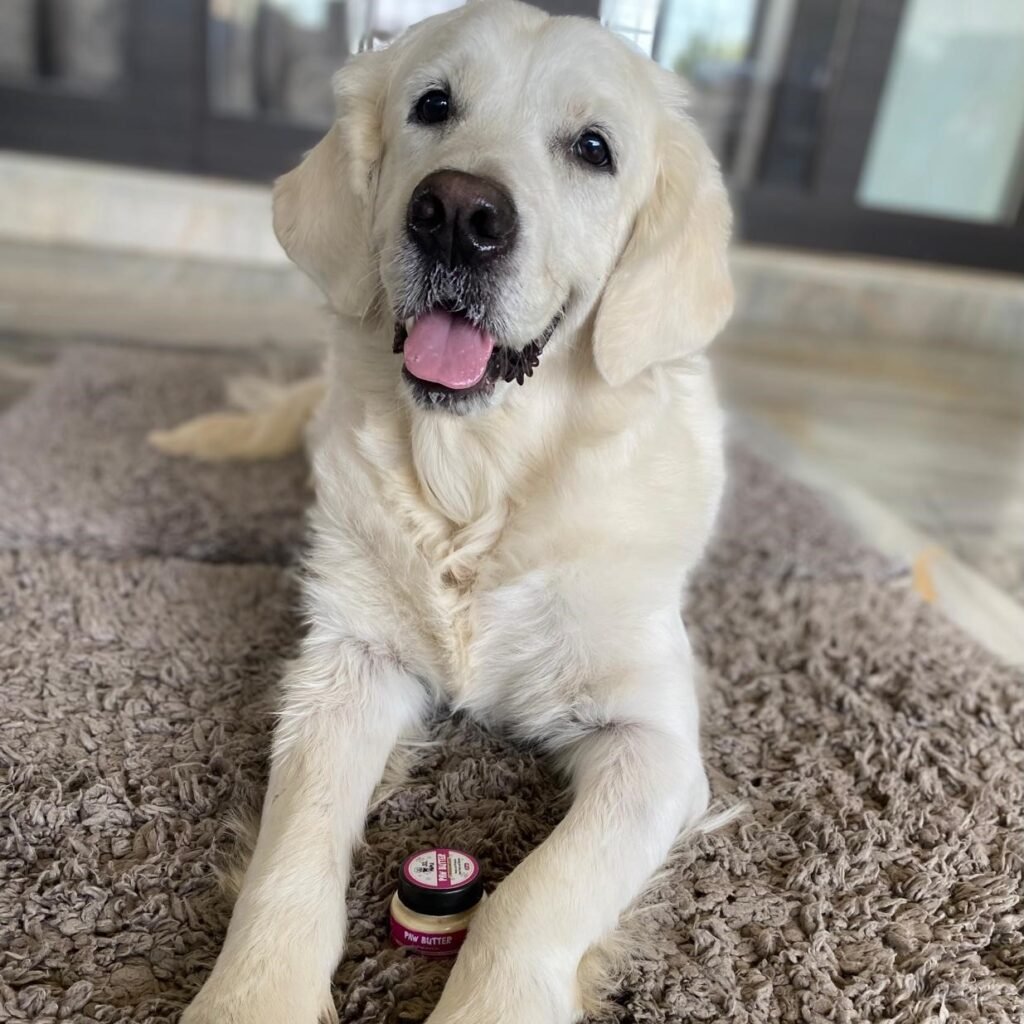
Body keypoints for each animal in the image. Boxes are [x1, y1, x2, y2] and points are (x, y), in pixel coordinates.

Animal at [180, 4, 733, 1019]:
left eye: (594, 148)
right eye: (433, 104)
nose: (457, 216)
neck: (479, 484)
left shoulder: (656, 743)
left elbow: (534, 895)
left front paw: (495, 1001)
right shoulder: (346, 665)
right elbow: (292, 849)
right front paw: (250, 994)